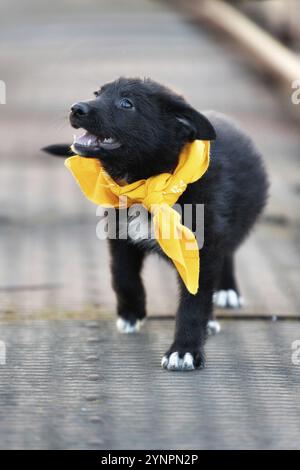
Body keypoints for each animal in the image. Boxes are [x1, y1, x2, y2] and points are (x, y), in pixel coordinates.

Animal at [44, 77, 268, 370]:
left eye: (127, 103)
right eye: (98, 93)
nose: (76, 108)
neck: (149, 183)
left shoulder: (203, 247)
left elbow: (193, 302)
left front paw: (184, 350)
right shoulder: (119, 234)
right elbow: (123, 276)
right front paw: (131, 313)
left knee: (227, 254)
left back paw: (227, 292)